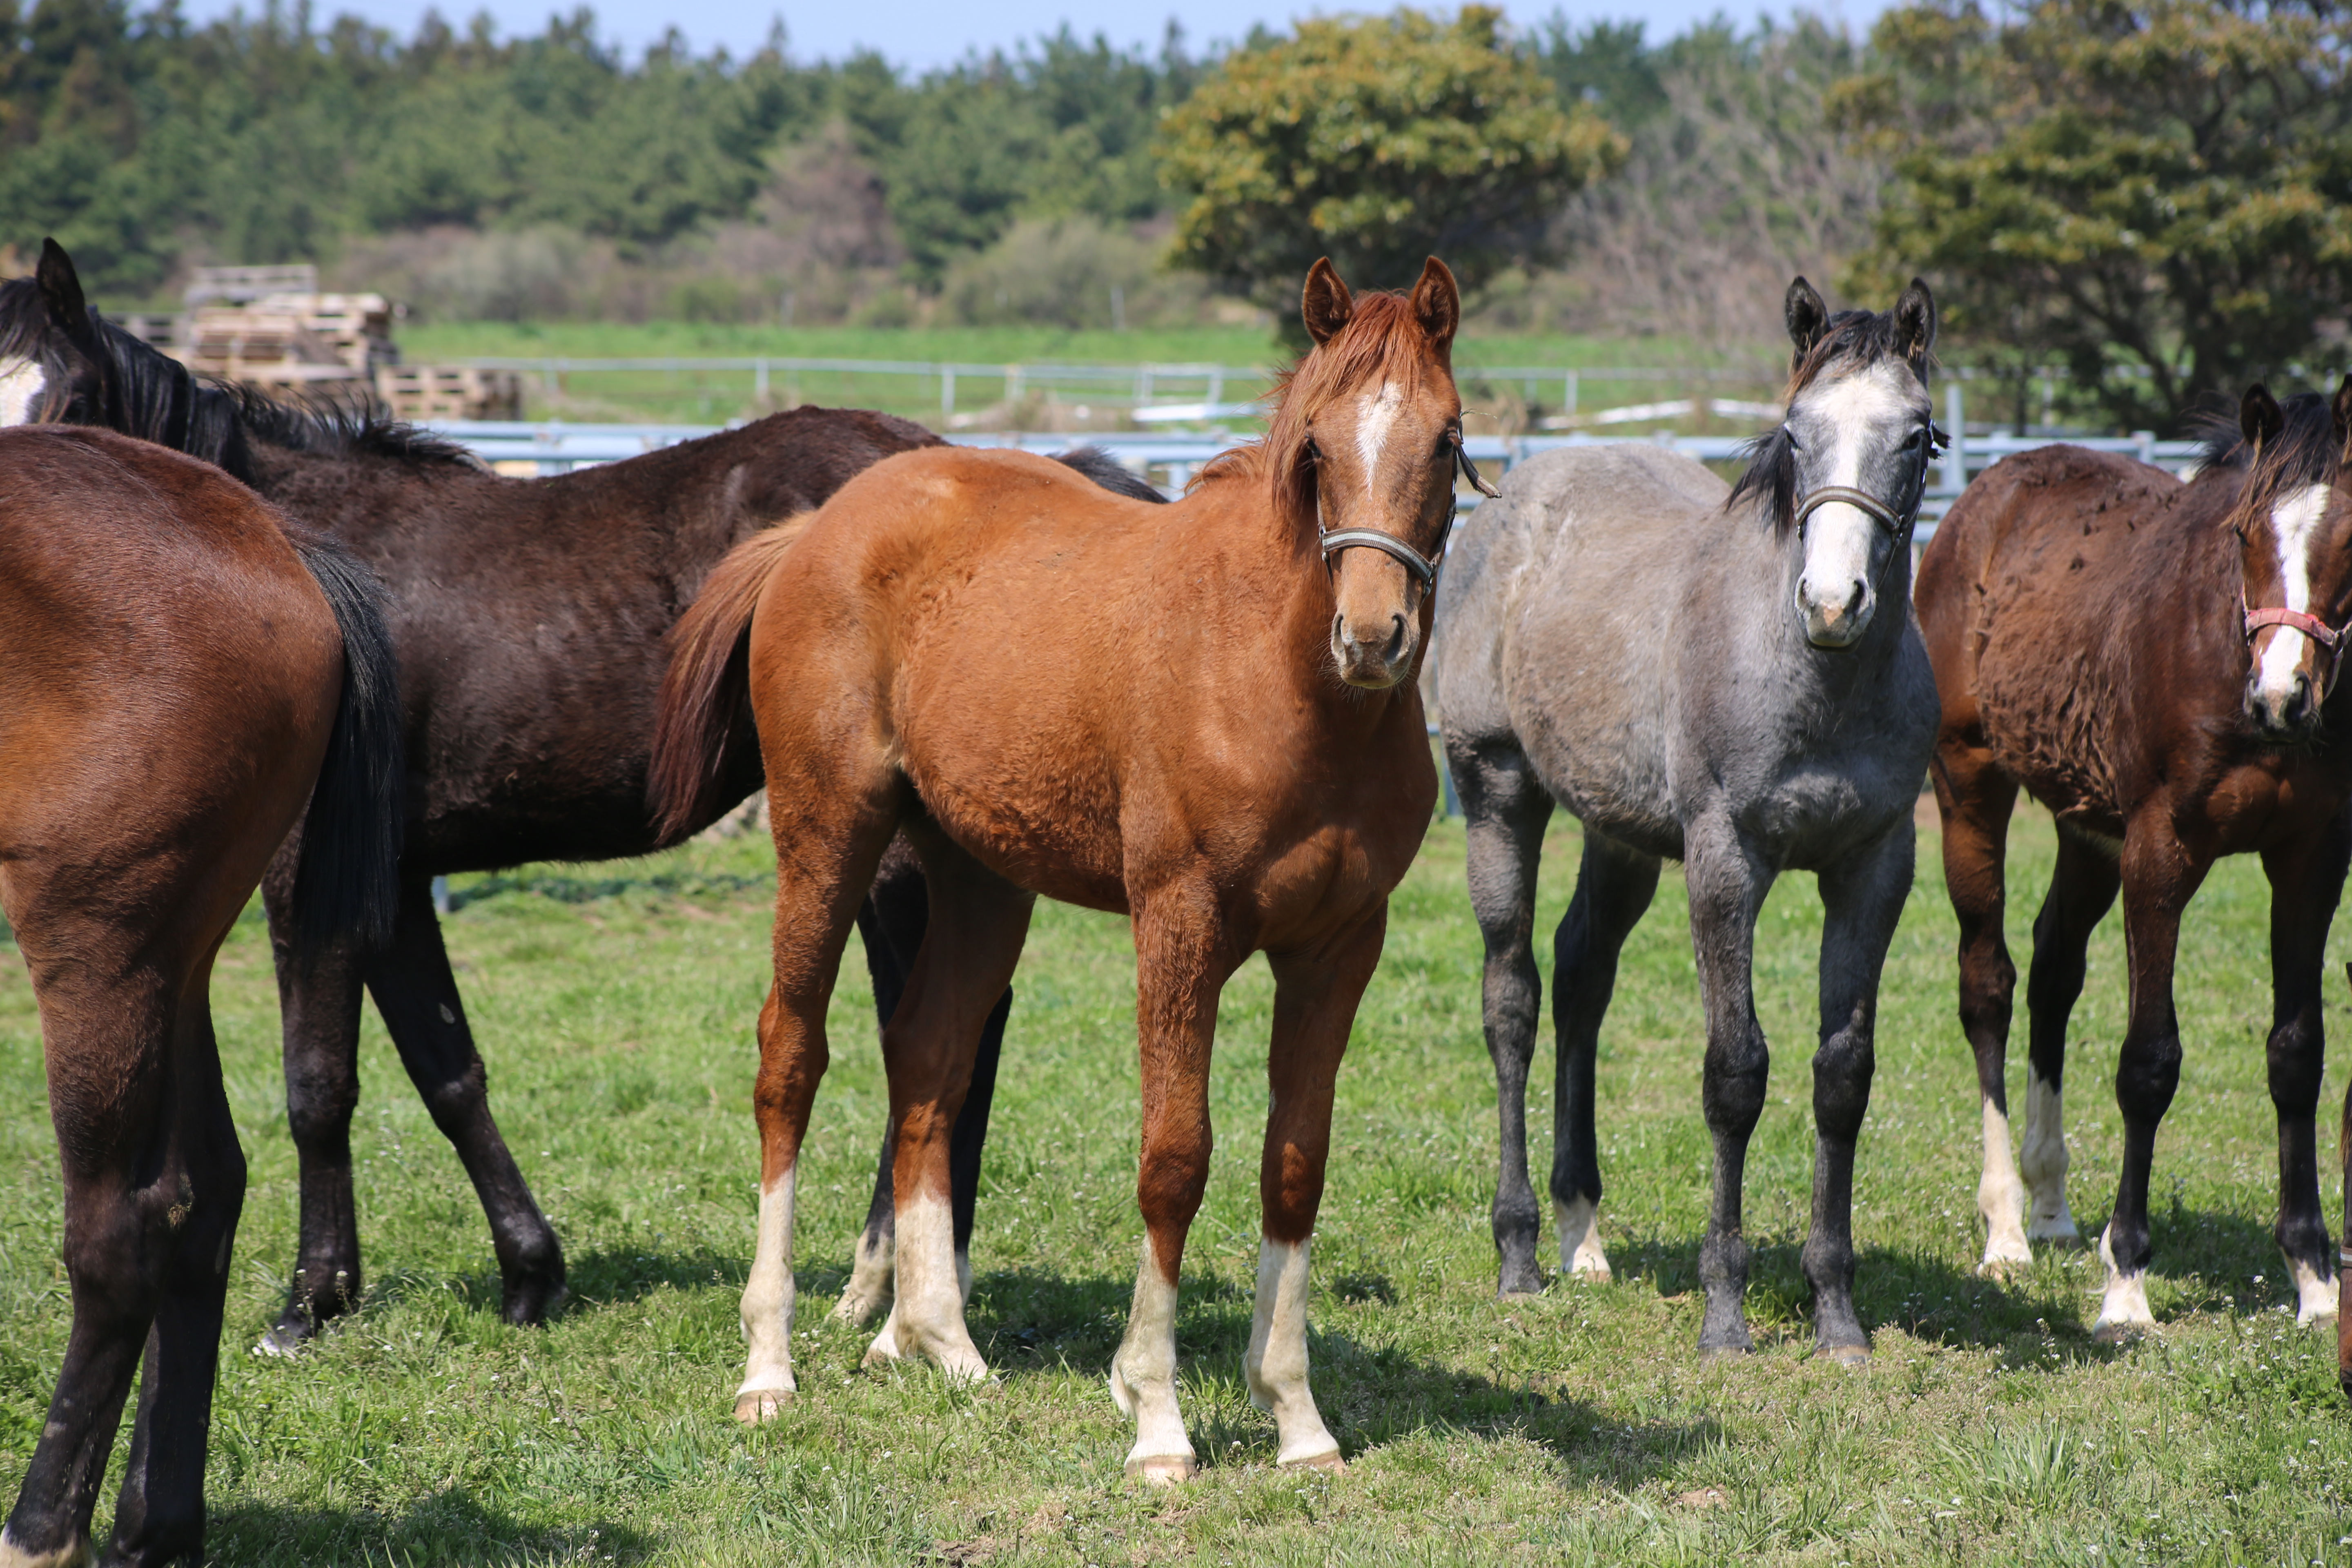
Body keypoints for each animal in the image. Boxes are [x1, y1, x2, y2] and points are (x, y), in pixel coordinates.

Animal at [0, 240, 1157, 1354]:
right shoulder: (397, 884)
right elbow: (447, 1071)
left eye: (65, 402)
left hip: (891, 850)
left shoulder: (308, 880)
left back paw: (894, 1287)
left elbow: (317, 1084)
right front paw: (529, 1274)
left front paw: (310, 1303)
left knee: (942, 1035)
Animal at [1, 423, 404, 1561]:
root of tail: (270, 542)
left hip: (102, 951)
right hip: (171, 962)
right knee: (205, 1188)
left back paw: (42, 1526)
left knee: (124, 1233)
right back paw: (155, 1521)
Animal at [654, 255, 1468, 1476]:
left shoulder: (1339, 944)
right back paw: (770, 1366)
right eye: (1317, 449)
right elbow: (1174, 1158)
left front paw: (1297, 1420)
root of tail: (813, 531)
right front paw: (1158, 1421)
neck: (1279, 682)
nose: (1371, 639)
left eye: (1448, 437)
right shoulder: (1180, 924)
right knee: (790, 1059)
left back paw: (939, 1344)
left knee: (929, 1062)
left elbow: (1293, 1165)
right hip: (827, 837)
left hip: (982, 881)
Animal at [1430, 282, 1947, 1363]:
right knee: (1513, 999)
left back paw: (1582, 1233)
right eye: (1793, 433)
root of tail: (1511, 497)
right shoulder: (1725, 862)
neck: (1814, 681)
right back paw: (1519, 1253)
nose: (1831, 602)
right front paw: (1725, 1313)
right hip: (1498, 793)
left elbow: (1842, 1075)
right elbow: (1734, 1072)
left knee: (1581, 974)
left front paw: (1836, 1313)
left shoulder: (1875, 865)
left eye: (1918, 436)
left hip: (1620, 835)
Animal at [1919, 376, 2352, 1363]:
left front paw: (2315, 1276)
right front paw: (2127, 1285)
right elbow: (2149, 1063)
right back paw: (2006, 1228)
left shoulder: (2312, 860)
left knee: (2052, 969)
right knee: (1989, 985)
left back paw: (2049, 1204)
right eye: (2244, 532)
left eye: (2351, 533)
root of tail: (1982, 497)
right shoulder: (2162, 853)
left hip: (2087, 830)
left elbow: (2297, 1055)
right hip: (1969, 788)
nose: (2282, 697)